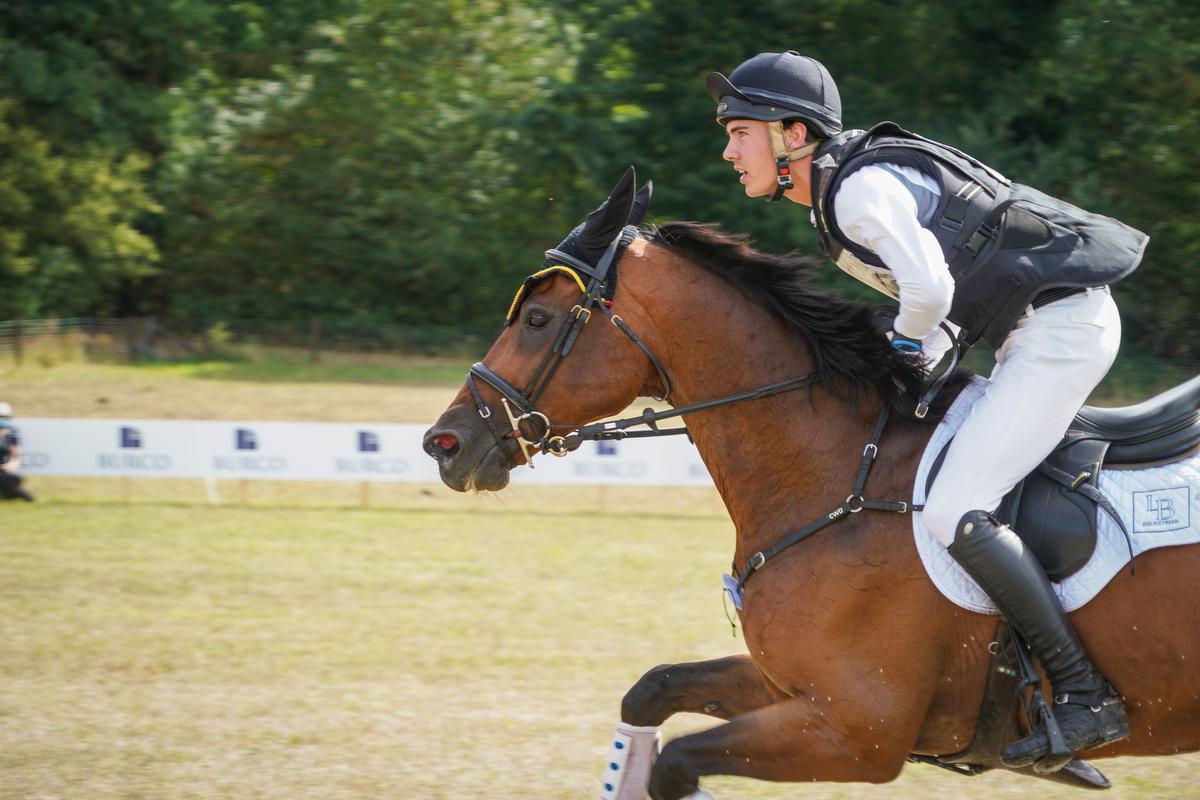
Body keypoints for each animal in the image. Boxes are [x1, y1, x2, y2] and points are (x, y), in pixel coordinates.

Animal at [423, 168, 1200, 799]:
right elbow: (651, 691)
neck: (837, 474)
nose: (444, 443)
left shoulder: (854, 734)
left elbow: (676, 764)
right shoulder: (786, 689)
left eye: (537, 319)